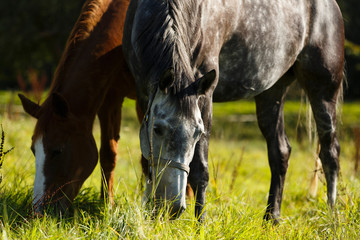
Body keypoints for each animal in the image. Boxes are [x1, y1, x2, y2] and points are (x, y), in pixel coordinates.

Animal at [18, 0, 140, 214]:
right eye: (34, 150)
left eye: (57, 150)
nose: (39, 212)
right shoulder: (109, 98)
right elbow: (108, 155)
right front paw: (107, 205)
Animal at [123, 0, 344, 223]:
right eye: (157, 129)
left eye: (198, 133)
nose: (172, 207)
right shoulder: (144, 95)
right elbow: (147, 161)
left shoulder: (205, 96)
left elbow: (200, 169)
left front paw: (200, 223)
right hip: (272, 92)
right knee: (280, 151)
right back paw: (271, 219)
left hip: (323, 91)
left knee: (330, 153)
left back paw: (331, 216)